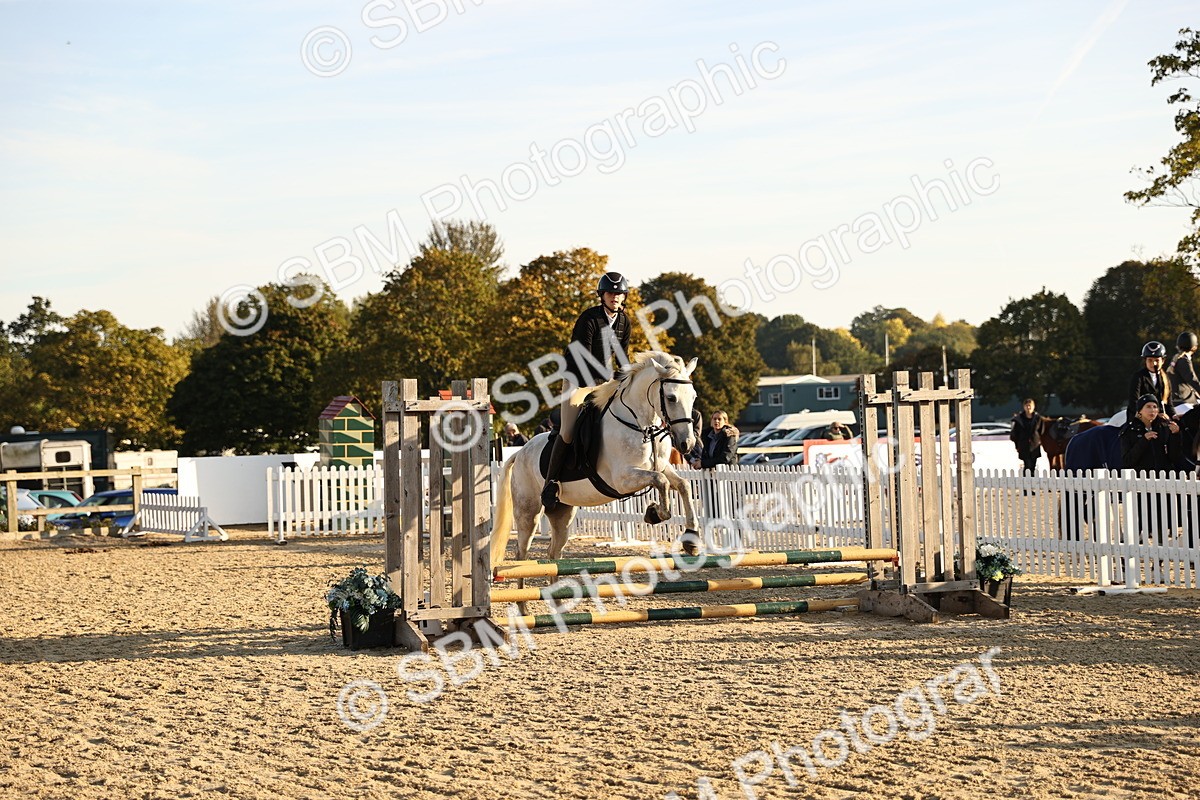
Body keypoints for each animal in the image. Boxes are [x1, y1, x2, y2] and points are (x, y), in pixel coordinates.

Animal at [490, 351, 701, 571]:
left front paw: (691, 539)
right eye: (671, 398)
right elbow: (662, 481)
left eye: (693, 396)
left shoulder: (660, 466)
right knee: (521, 552)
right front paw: (655, 513)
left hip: (562, 513)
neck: (641, 426)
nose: (687, 443)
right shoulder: (622, 479)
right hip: (528, 512)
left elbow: (682, 484)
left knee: (553, 552)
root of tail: (520, 452)